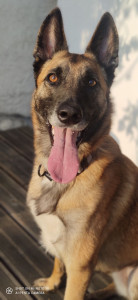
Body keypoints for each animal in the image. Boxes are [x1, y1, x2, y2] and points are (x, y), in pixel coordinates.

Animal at [27, 7, 138, 300]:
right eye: (53, 77)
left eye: (91, 82)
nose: (69, 115)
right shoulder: (64, 250)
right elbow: (58, 259)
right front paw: (53, 281)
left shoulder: (80, 268)